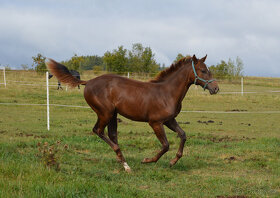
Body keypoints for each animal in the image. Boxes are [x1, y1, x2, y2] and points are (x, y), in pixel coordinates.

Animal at [46, 54, 219, 172]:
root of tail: (87, 82)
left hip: (113, 115)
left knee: (112, 134)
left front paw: (173, 161)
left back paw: (123, 162)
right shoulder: (155, 123)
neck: (166, 93)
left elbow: (183, 135)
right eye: (203, 71)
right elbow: (165, 145)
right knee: (98, 130)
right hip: (105, 113)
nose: (216, 88)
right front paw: (147, 160)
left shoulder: (170, 120)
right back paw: (124, 162)